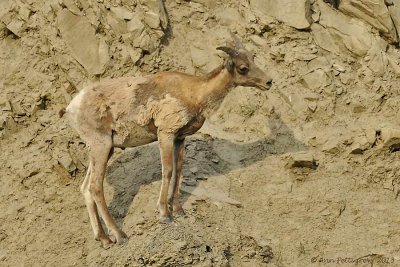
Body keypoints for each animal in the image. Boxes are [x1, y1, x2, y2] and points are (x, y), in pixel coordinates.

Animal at [64, 34, 274, 248]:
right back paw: (120, 235)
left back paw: (104, 239)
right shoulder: (165, 134)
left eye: (253, 58)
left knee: (86, 189)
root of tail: (72, 107)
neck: (194, 92)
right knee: (95, 188)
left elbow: (179, 170)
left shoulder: (180, 138)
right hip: (101, 146)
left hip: (104, 150)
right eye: (242, 68)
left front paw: (179, 211)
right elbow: (168, 171)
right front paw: (165, 215)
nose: (269, 82)